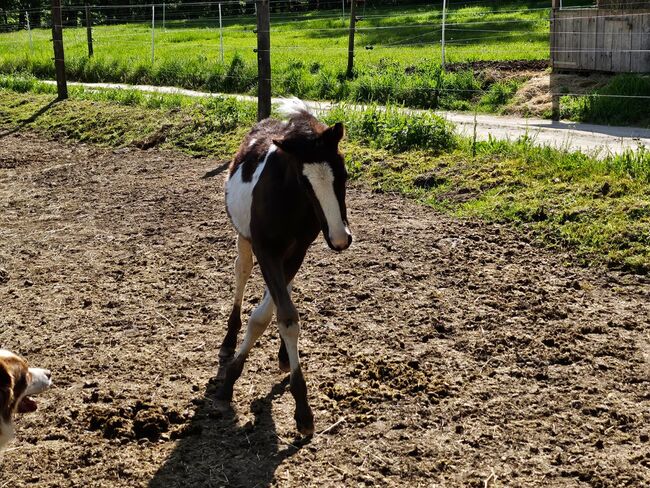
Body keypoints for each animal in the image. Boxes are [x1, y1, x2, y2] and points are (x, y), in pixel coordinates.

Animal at [216, 98, 350, 434]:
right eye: (304, 181)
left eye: (344, 174)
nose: (340, 238)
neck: (288, 200)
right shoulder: (265, 250)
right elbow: (275, 316)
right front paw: (230, 380)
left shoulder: (296, 250)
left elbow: (276, 311)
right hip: (244, 238)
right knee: (241, 271)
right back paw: (228, 340)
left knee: (279, 291)